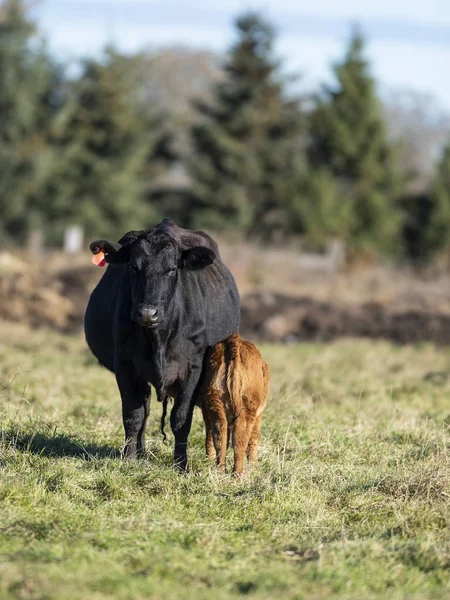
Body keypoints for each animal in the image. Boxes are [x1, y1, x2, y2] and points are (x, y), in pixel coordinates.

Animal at [84, 218, 239, 472]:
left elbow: (181, 419)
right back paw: (140, 452)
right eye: (133, 267)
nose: (147, 312)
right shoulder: (125, 365)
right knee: (145, 408)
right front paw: (129, 459)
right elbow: (133, 414)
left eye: (172, 269)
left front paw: (181, 465)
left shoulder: (194, 368)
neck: (158, 338)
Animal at [198, 336, 268, 476]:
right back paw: (238, 475)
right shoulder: (259, 415)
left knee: (220, 435)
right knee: (240, 439)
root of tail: (234, 340)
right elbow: (253, 438)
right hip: (248, 408)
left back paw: (220, 473)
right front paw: (254, 465)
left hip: (215, 402)